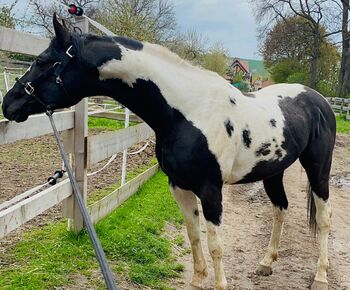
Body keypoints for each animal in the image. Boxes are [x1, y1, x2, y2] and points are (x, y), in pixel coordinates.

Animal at [2, 15, 336, 290]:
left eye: (44, 61)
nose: (9, 103)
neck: (186, 111)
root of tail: (319, 100)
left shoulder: (211, 190)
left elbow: (216, 245)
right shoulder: (179, 186)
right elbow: (194, 234)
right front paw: (198, 279)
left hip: (318, 169)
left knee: (323, 218)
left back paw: (320, 275)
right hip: (273, 171)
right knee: (280, 209)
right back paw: (266, 263)